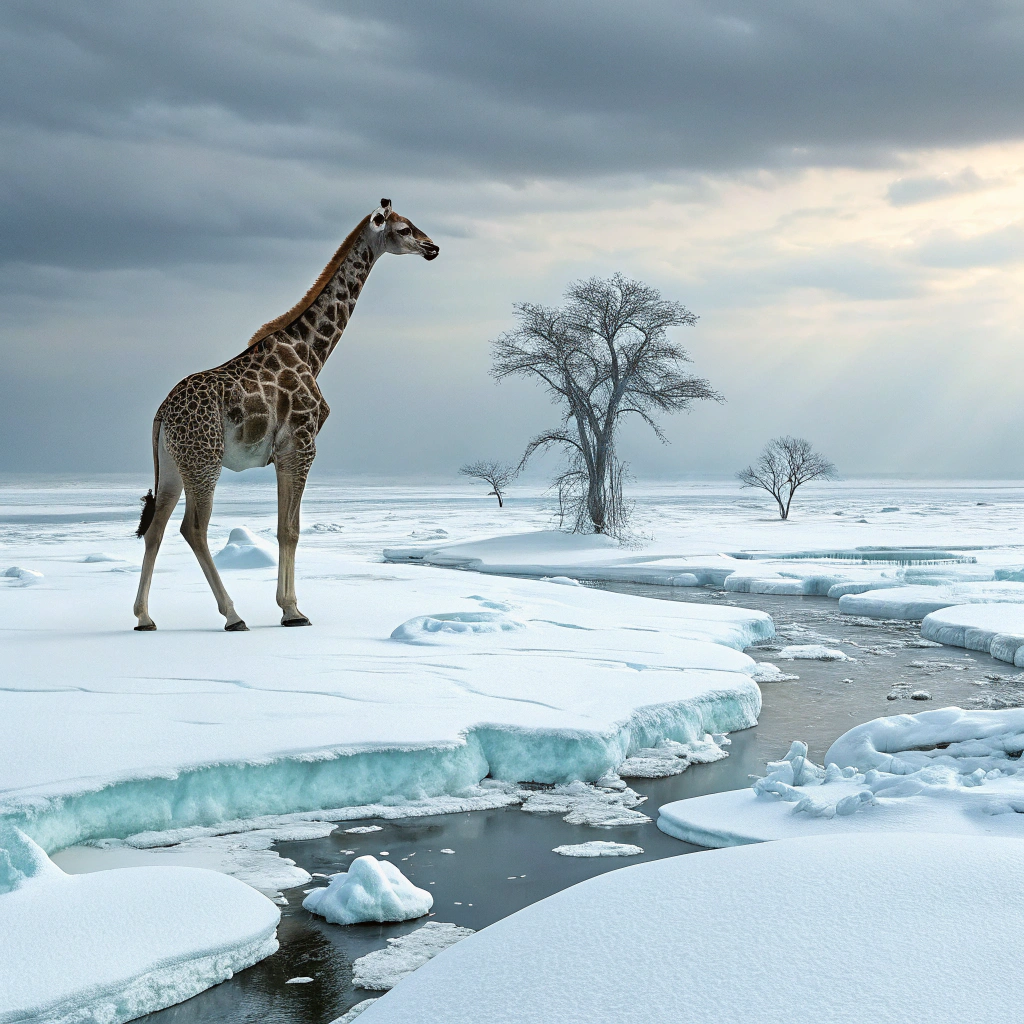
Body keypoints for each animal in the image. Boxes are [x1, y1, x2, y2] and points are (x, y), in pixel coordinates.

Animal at [133, 200, 439, 632]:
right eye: (405, 229)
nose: (433, 248)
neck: (312, 350)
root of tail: (162, 413)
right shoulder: (301, 445)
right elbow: (291, 530)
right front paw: (293, 611)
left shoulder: (285, 452)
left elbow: (282, 528)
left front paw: (286, 607)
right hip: (204, 460)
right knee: (193, 528)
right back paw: (233, 615)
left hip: (175, 464)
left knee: (155, 529)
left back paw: (144, 617)